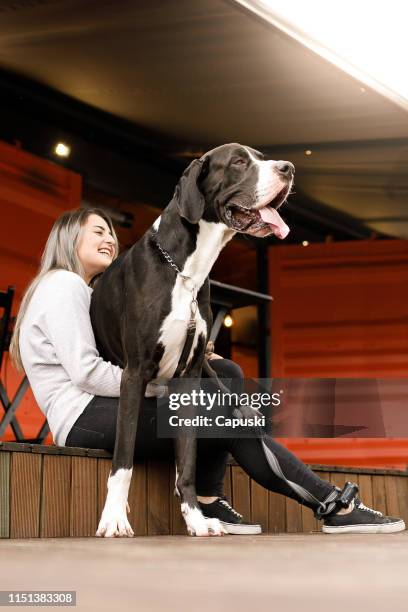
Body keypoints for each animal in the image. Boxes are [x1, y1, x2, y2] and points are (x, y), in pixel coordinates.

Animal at [90, 142, 294, 536]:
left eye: (262, 157)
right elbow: (123, 459)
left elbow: (186, 462)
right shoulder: (135, 372)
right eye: (239, 162)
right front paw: (114, 518)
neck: (185, 271)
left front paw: (196, 519)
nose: (289, 168)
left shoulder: (189, 377)